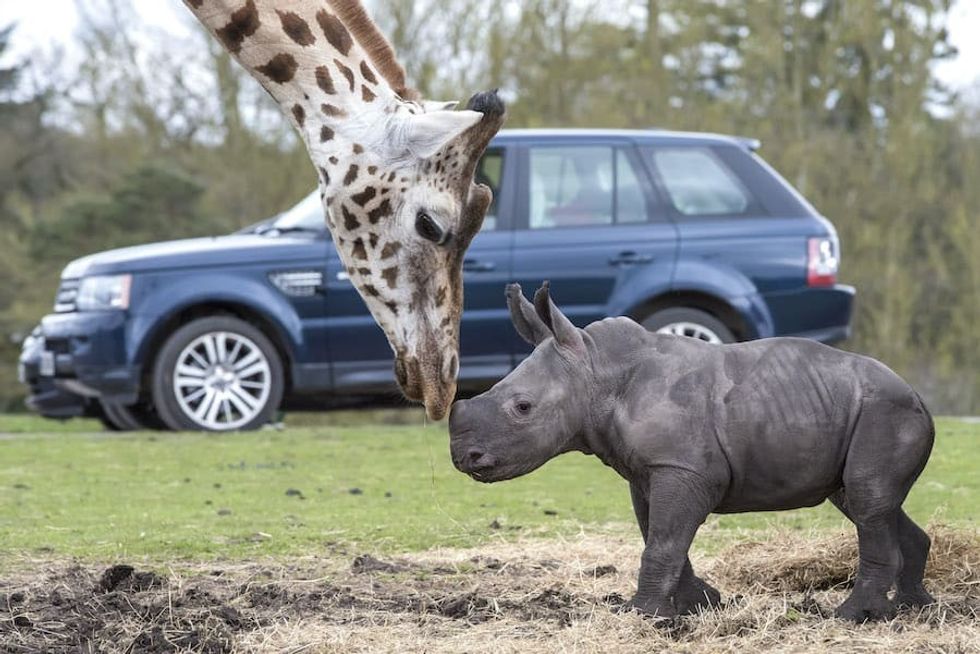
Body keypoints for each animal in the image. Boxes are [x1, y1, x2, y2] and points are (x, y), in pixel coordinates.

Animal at [448, 282, 935, 622]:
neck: (596, 374)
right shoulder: (649, 470)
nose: (464, 458)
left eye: (523, 408)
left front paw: (642, 614)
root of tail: (918, 395)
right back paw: (913, 608)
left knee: (868, 500)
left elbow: (663, 540)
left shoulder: (681, 467)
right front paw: (696, 605)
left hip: (884, 412)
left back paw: (854, 616)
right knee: (864, 501)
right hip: (858, 412)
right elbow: (658, 534)